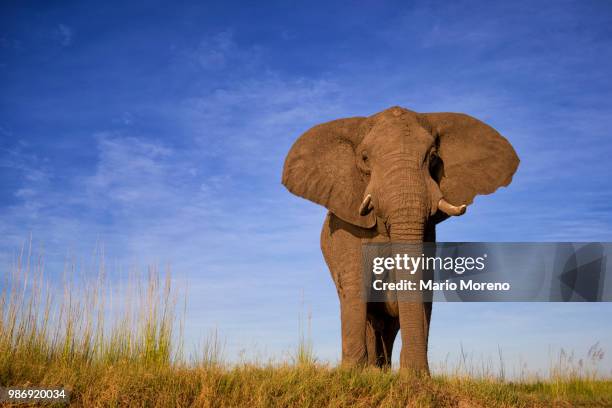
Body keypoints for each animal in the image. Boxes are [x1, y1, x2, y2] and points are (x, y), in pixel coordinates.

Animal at [280, 105, 516, 372]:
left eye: (433, 157)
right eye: (364, 158)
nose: (414, 371)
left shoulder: (428, 234)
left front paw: (416, 375)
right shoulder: (344, 228)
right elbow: (355, 285)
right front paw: (352, 373)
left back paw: (381, 369)